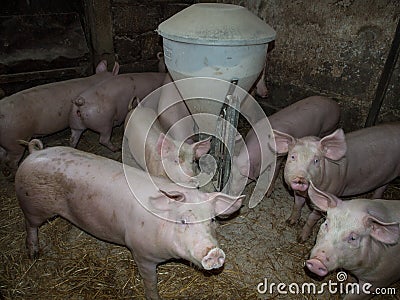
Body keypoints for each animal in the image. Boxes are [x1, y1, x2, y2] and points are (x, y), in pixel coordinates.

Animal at [15, 140, 244, 300]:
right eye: (182, 221)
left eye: (212, 220)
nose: (214, 252)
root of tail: (35, 153)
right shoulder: (141, 253)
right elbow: (150, 281)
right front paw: (154, 296)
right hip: (34, 206)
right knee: (30, 225)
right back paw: (34, 254)